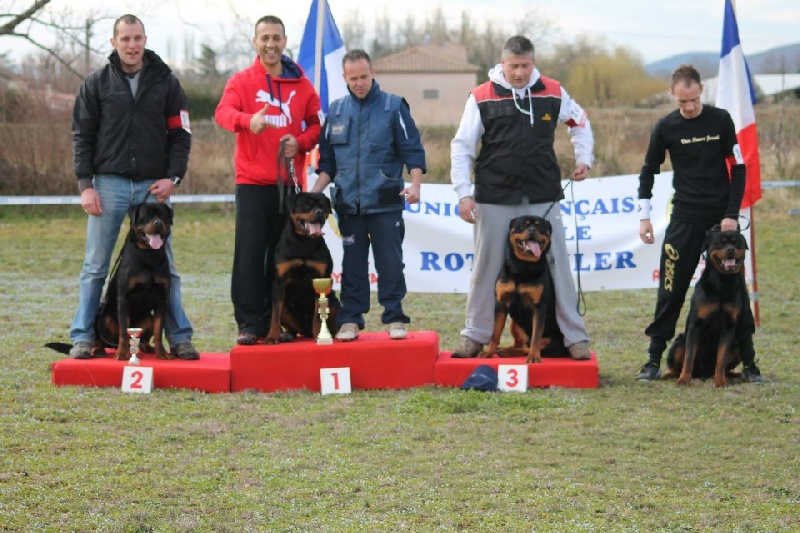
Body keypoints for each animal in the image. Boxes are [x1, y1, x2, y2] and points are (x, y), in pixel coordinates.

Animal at [46, 202, 174, 360]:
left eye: (162, 216)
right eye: (147, 216)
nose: (157, 223)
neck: (149, 254)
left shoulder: (161, 299)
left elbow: (158, 330)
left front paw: (161, 353)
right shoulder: (124, 299)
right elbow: (124, 332)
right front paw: (122, 353)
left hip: (147, 318)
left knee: (141, 339)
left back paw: (147, 348)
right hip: (100, 314)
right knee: (99, 338)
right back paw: (98, 349)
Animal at [265, 192, 340, 344]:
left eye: (323, 205)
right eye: (307, 205)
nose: (319, 212)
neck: (304, 242)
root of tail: (305, 331)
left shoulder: (320, 277)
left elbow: (317, 315)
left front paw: (319, 335)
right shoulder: (279, 282)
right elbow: (275, 315)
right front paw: (272, 336)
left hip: (333, 300)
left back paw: (333, 332)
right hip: (286, 307)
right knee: (287, 321)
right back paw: (287, 335)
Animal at [479, 215, 567, 363]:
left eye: (539, 226)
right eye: (522, 226)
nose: (532, 229)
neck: (522, 265)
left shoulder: (539, 307)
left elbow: (536, 336)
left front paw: (534, 357)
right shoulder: (501, 303)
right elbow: (495, 332)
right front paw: (489, 351)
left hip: (553, 340)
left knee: (532, 346)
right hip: (515, 324)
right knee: (520, 344)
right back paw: (503, 350)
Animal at [664, 226, 748, 387]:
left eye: (737, 243)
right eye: (721, 243)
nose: (730, 249)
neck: (722, 283)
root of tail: (703, 373)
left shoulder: (728, 327)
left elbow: (721, 359)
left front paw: (720, 382)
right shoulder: (696, 325)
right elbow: (689, 357)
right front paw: (684, 380)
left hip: (737, 345)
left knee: (724, 366)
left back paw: (732, 375)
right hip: (679, 342)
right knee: (677, 365)